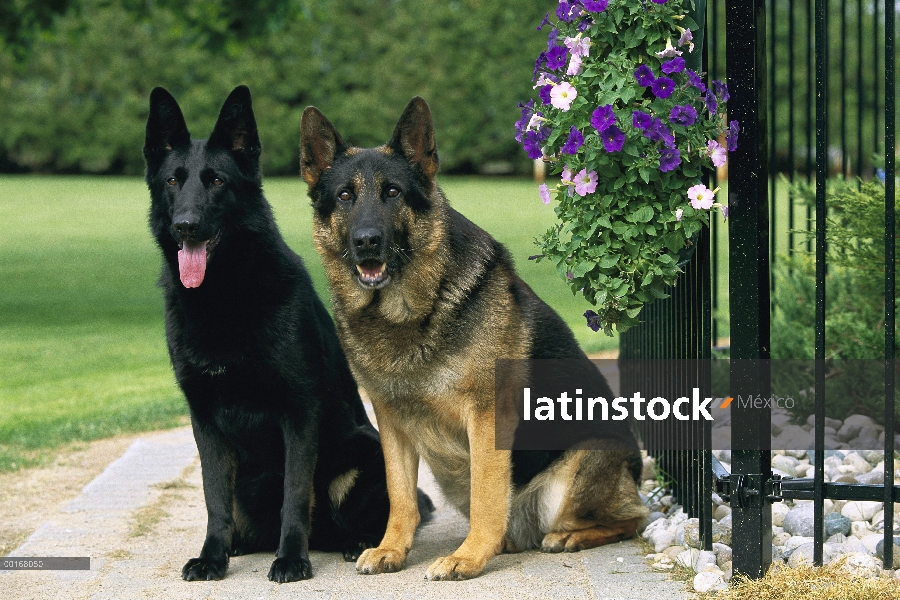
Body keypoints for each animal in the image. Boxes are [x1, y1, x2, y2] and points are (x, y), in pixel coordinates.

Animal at [143, 84, 422, 580]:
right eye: (173, 182)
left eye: (217, 182)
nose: (186, 226)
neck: (224, 298)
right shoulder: (205, 421)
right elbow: (214, 498)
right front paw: (212, 556)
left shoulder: (298, 412)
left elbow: (295, 492)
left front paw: (291, 557)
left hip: (364, 453)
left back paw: (356, 542)